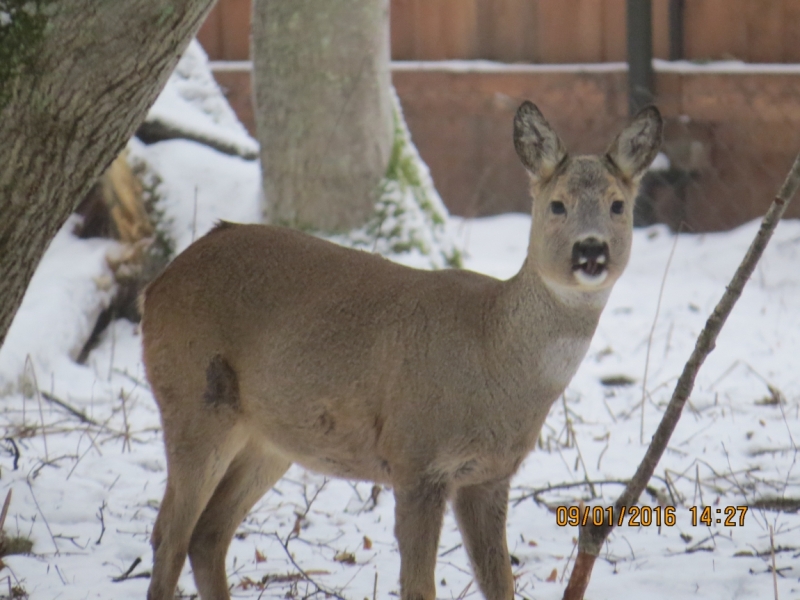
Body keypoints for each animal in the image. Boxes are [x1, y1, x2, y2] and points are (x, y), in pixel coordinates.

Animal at [142, 101, 664, 596]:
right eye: (557, 205)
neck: (491, 355)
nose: (591, 250)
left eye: (618, 205)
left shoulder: (488, 477)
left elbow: (500, 583)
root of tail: (158, 283)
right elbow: (418, 587)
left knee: (206, 534)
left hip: (268, 437)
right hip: (193, 399)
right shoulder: (415, 458)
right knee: (169, 535)